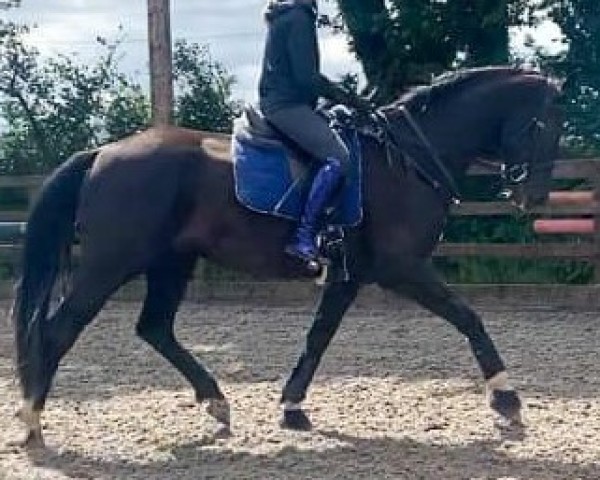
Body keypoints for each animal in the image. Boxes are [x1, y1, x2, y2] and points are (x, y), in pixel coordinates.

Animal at [10, 64, 564, 446]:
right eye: (544, 125)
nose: (532, 195)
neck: (406, 157)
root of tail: (102, 152)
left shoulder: (348, 276)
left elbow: (317, 338)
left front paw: (293, 406)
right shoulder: (401, 268)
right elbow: (468, 317)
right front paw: (507, 398)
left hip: (171, 263)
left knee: (155, 328)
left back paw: (216, 402)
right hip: (111, 264)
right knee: (60, 330)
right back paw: (33, 421)